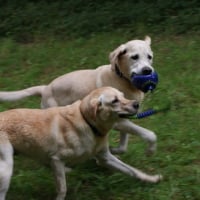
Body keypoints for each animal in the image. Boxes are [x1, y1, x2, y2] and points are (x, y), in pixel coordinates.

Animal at [0, 36, 156, 154]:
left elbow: (124, 144)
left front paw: (116, 150)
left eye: (150, 57)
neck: (122, 79)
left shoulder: (123, 118)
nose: (148, 70)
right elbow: (150, 134)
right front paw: (150, 150)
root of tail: (45, 88)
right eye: (134, 57)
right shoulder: (119, 121)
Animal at [0, 87, 161, 200]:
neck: (88, 123)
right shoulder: (57, 158)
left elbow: (132, 171)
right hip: (7, 169)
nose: (137, 104)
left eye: (122, 95)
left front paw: (151, 179)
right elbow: (63, 189)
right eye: (114, 101)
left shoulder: (105, 158)